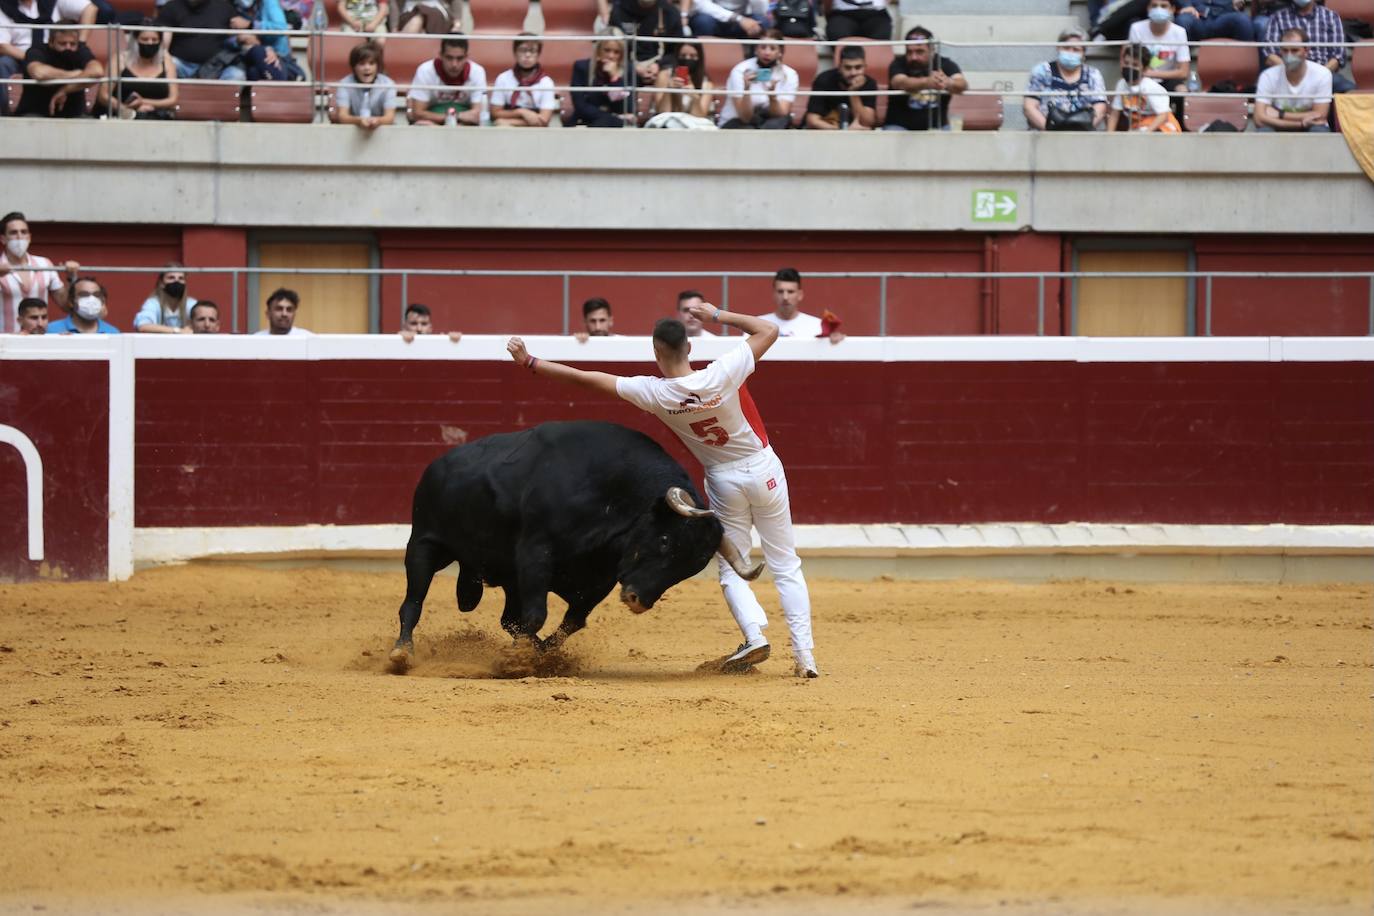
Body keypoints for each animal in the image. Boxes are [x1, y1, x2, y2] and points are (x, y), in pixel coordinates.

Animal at [390, 422, 763, 667]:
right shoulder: (534, 554)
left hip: (505, 577)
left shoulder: (600, 578)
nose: (638, 601)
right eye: (665, 539)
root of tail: (438, 464)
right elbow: (537, 614)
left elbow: (570, 621)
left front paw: (539, 654)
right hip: (422, 545)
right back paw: (402, 652)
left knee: (508, 619)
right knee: (412, 602)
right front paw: (522, 657)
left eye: (691, 567)